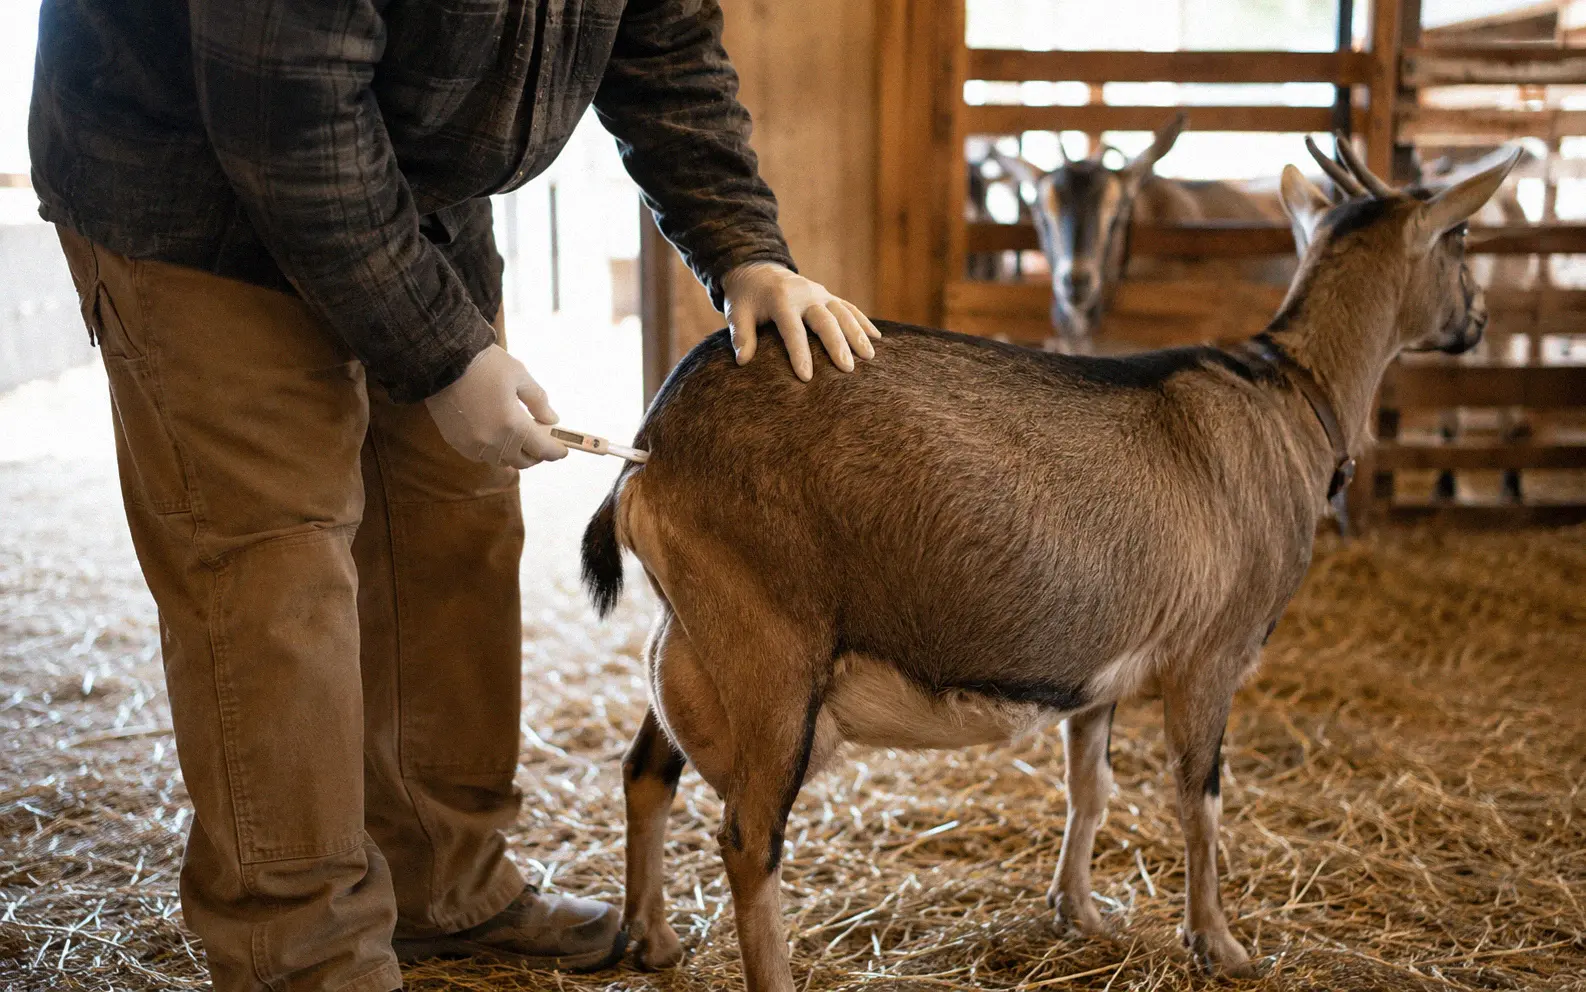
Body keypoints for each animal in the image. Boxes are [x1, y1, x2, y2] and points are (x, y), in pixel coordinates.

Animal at [583, 137, 1515, 990]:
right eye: (1463, 238)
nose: (1479, 321)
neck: (1289, 395)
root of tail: (653, 446)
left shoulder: (1101, 671)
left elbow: (1090, 787)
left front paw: (1079, 912)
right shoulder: (1211, 656)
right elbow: (1200, 799)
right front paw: (1218, 944)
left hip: (695, 639)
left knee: (647, 769)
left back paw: (651, 938)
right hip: (769, 649)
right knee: (750, 837)